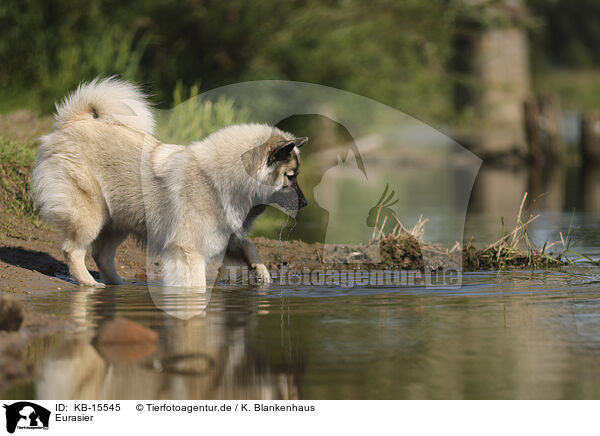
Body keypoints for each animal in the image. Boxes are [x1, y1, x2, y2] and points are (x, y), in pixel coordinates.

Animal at [30, 77, 308, 290]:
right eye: (290, 176)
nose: (305, 203)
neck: (221, 180)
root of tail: (74, 122)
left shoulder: (226, 234)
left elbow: (249, 246)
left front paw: (261, 272)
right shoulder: (188, 249)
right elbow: (196, 282)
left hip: (118, 219)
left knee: (101, 254)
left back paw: (118, 285)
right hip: (89, 215)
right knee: (73, 250)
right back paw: (88, 283)